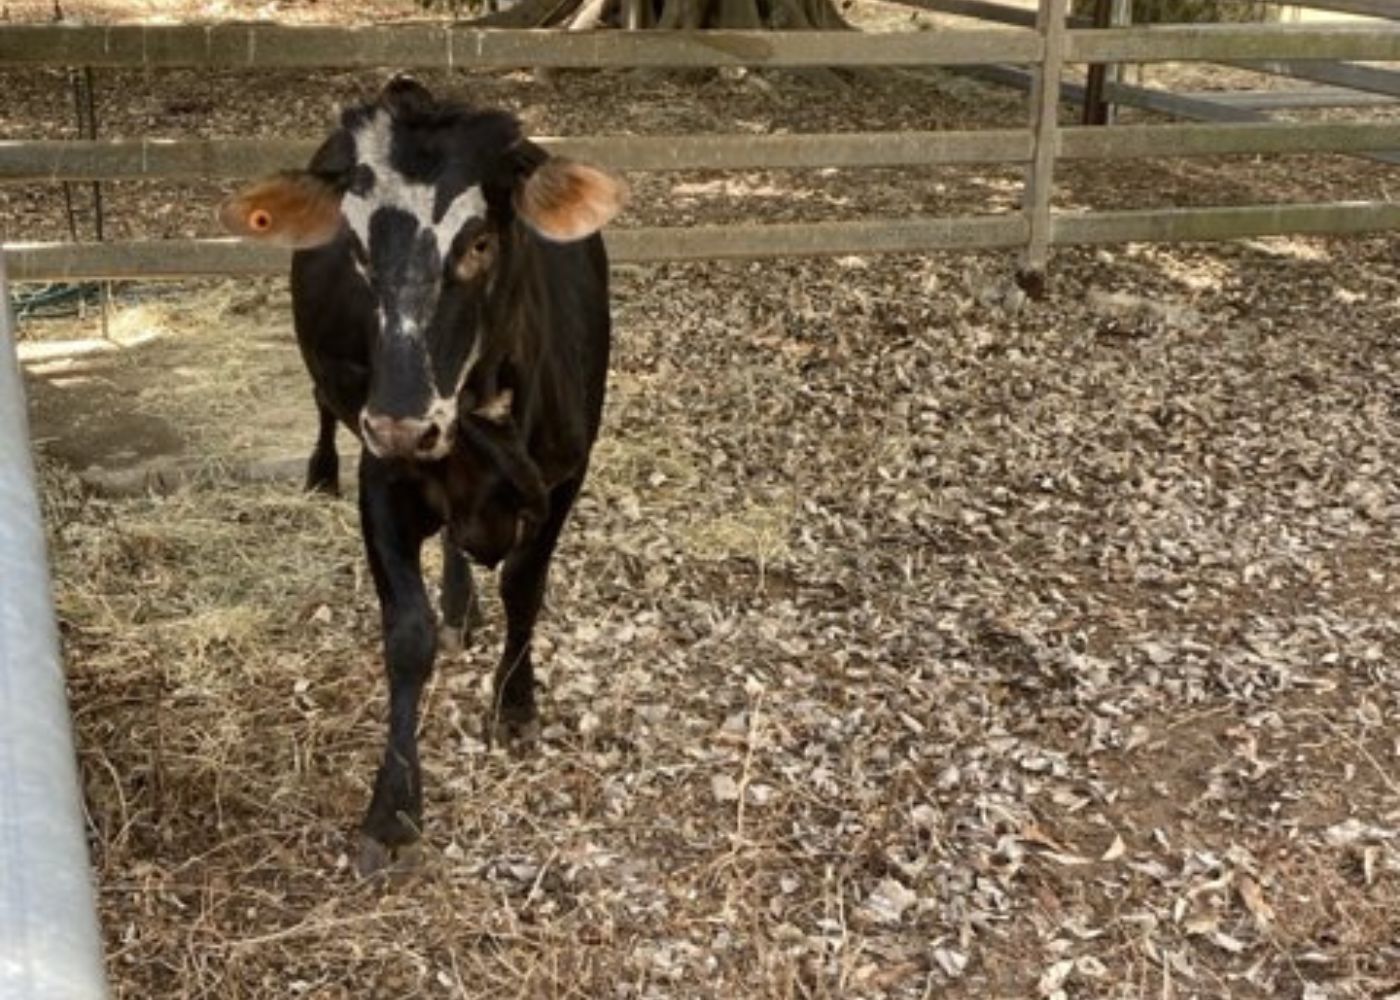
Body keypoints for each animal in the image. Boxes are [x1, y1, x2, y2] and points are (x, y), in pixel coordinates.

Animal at [218, 77, 625, 873]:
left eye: (480, 242)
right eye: (355, 250)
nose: (401, 424)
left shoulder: (567, 475)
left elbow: (525, 587)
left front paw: (516, 706)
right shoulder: (385, 483)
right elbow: (407, 636)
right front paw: (392, 808)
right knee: (322, 408)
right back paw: (320, 472)